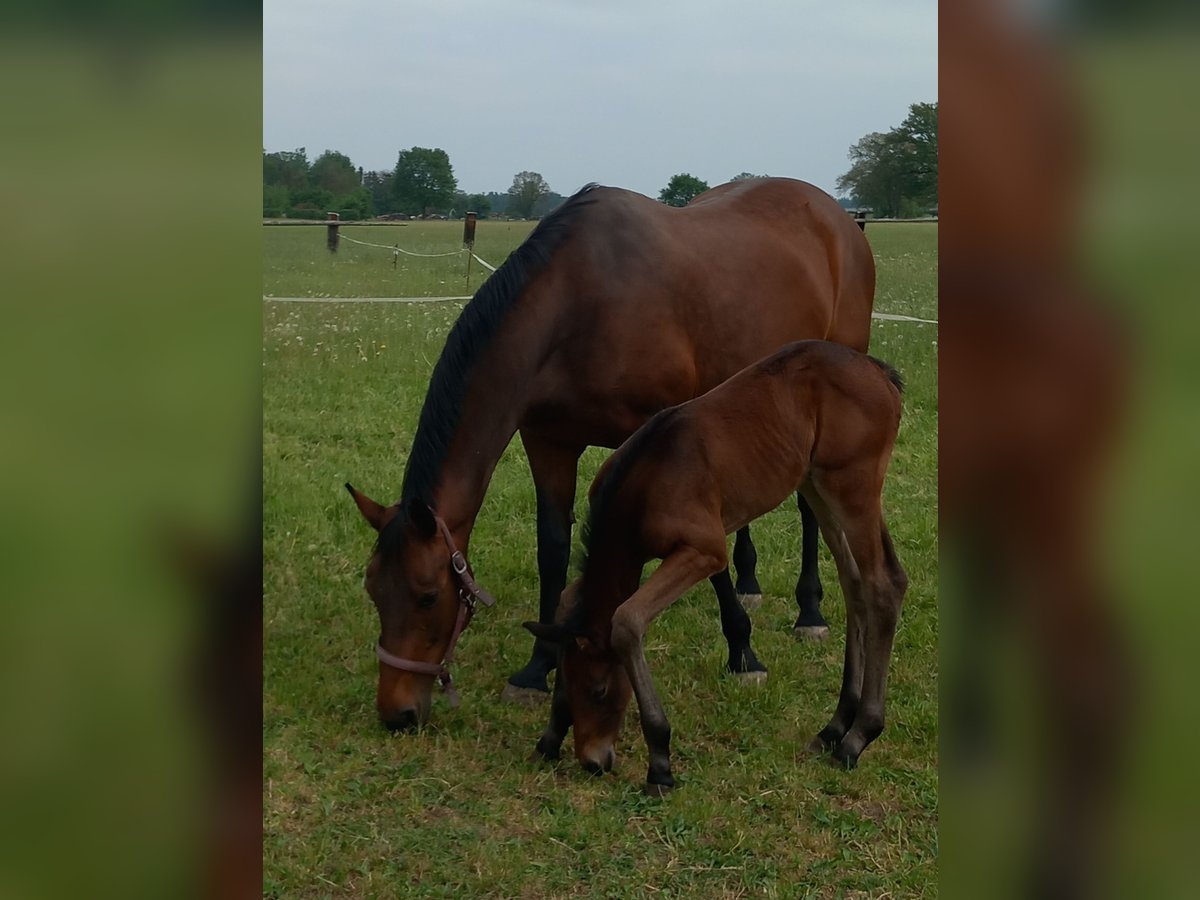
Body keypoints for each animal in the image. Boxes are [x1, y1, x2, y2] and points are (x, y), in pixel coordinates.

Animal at [345, 177, 873, 734]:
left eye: (427, 595)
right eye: (374, 589)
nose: (396, 713)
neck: (580, 302)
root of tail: (838, 217)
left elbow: (711, 560)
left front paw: (743, 652)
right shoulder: (548, 442)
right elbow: (553, 549)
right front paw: (537, 668)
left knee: (810, 506)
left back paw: (810, 612)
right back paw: (753, 582)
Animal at [530, 340, 902, 792]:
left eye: (600, 690)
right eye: (566, 682)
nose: (593, 761)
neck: (644, 481)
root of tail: (879, 371)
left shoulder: (705, 550)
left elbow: (627, 620)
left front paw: (660, 763)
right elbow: (570, 601)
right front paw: (550, 737)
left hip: (853, 486)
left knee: (883, 585)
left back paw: (858, 737)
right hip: (818, 486)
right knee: (855, 583)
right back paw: (835, 727)